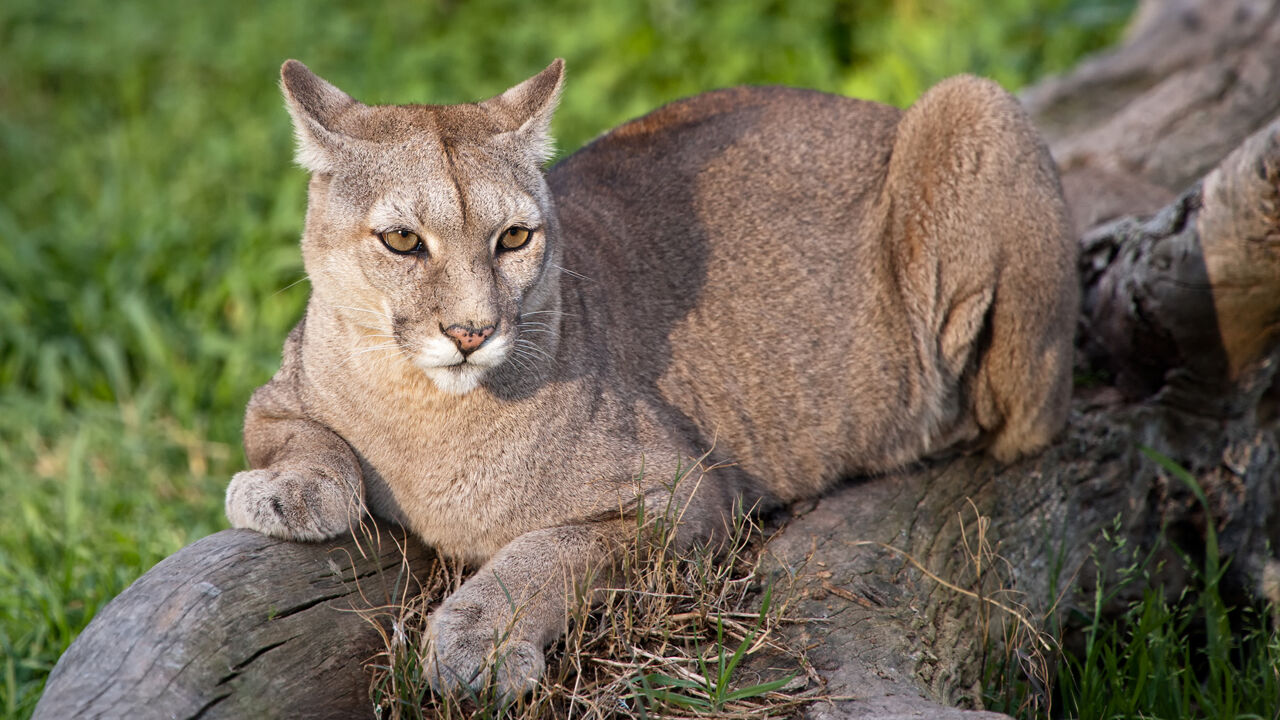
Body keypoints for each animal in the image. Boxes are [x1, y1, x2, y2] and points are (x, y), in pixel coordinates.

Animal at [225, 60, 1075, 696]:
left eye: (514, 238)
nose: (471, 332)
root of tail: (878, 111)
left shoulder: (686, 497)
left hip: (972, 104)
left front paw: (479, 641)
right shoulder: (279, 389)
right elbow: (300, 437)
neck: (426, 412)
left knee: (1014, 422)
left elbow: (554, 548)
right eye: (402, 241)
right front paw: (290, 490)